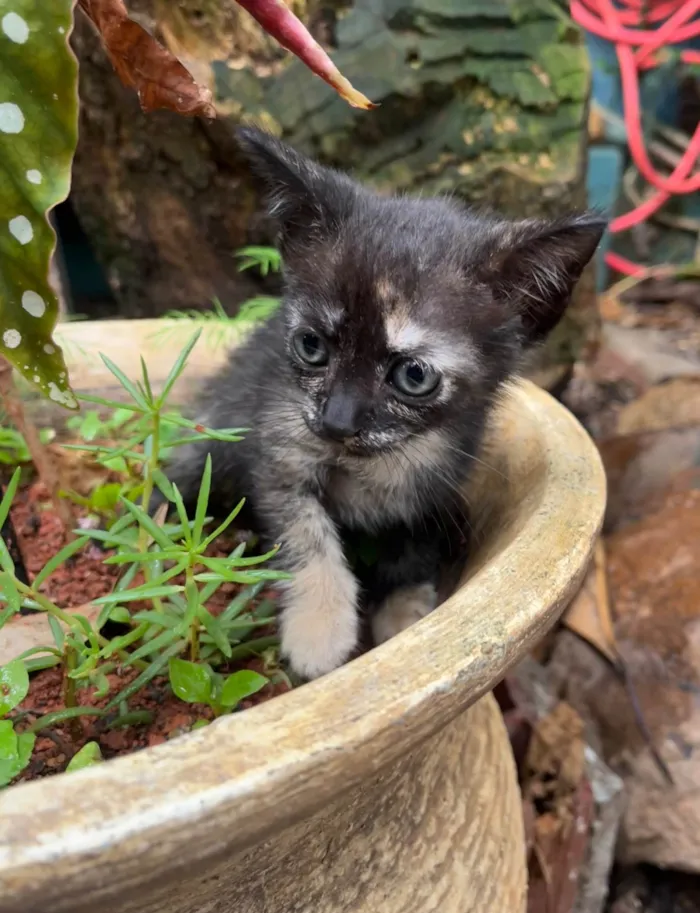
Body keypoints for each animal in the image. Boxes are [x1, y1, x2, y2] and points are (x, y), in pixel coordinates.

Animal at [160, 128, 608, 680]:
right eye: (311, 346)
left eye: (413, 375)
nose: (335, 421)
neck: (375, 463)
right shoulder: (279, 451)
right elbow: (304, 532)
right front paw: (320, 628)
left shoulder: (434, 489)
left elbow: (412, 548)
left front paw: (405, 618)